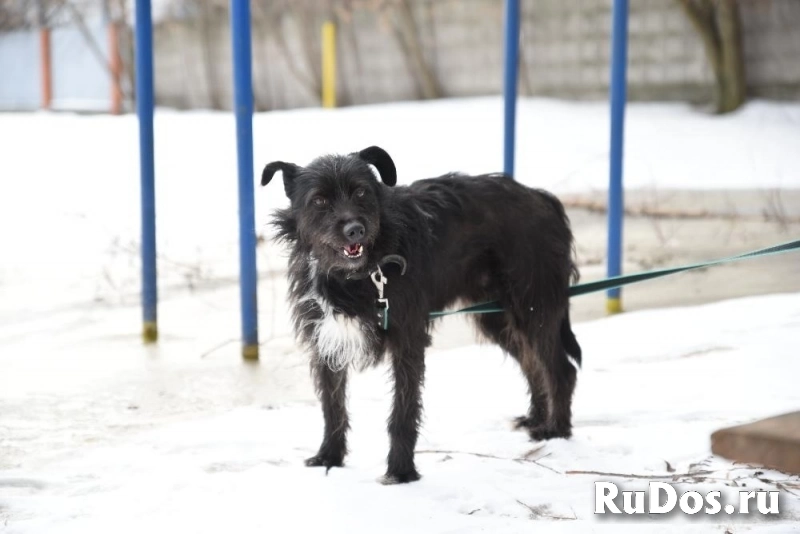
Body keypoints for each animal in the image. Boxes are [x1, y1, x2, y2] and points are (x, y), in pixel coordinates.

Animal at [262, 146, 580, 486]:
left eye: (361, 191)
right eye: (319, 200)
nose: (355, 229)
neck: (358, 273)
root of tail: (543, 198)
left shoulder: (407, 339)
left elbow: (403, 411)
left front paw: (400, 472)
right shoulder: (326, 339)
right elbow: (332, 406)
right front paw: (329, 458)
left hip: (534, 307)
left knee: (560, 369)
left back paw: (555, 431)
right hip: (498, 317)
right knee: (532, 363)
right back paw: (536, 418)